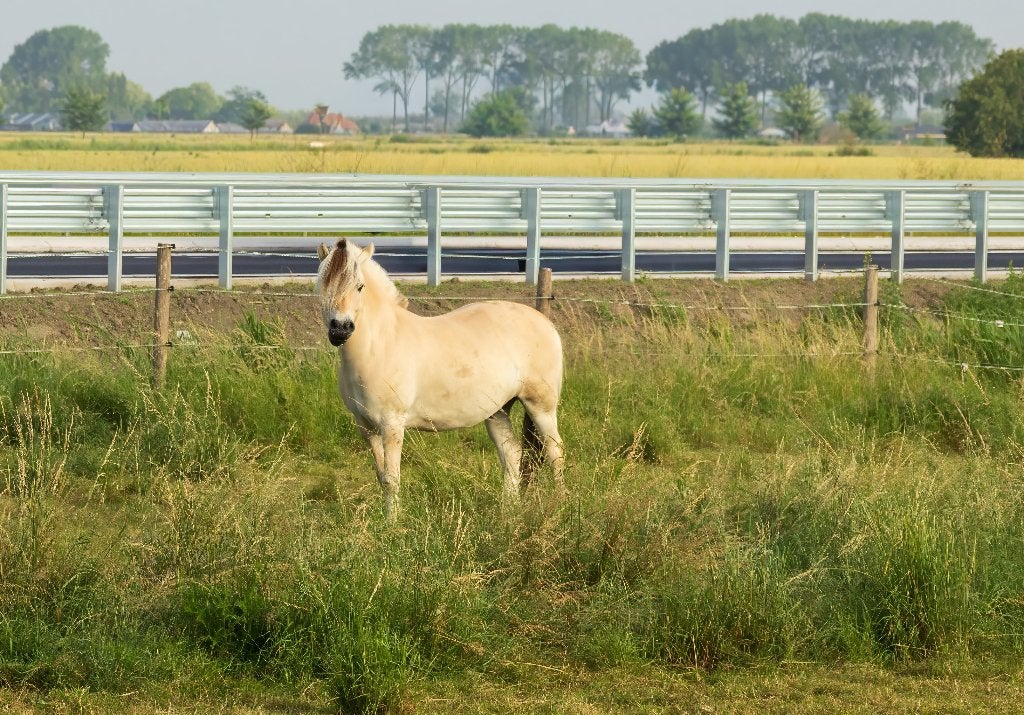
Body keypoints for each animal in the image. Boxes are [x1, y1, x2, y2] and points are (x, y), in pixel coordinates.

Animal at [315, 238, 564, 519]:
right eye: (322, 285)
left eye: (360, 286)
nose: (340, 329)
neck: (380, 345)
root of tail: (546, 323)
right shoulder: (365, 427)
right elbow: (381, 476)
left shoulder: (392, 424)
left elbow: (392, 478)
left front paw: (392, 523)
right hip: (497, 411)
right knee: (511, 453)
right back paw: (507, 512)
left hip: (541, 406)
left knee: (555, 451)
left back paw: (560, 505)